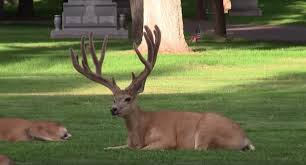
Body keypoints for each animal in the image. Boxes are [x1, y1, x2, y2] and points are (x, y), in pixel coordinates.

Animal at [70, 25, 255, 151]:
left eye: (128, 98)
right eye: (113, 99)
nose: (113, 109)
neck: (139, 135)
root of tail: (245, 138)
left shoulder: (166, 139)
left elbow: (145, 149)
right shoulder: (126, 144)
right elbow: (109, 148)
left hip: (206, 129)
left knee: (201, 148)